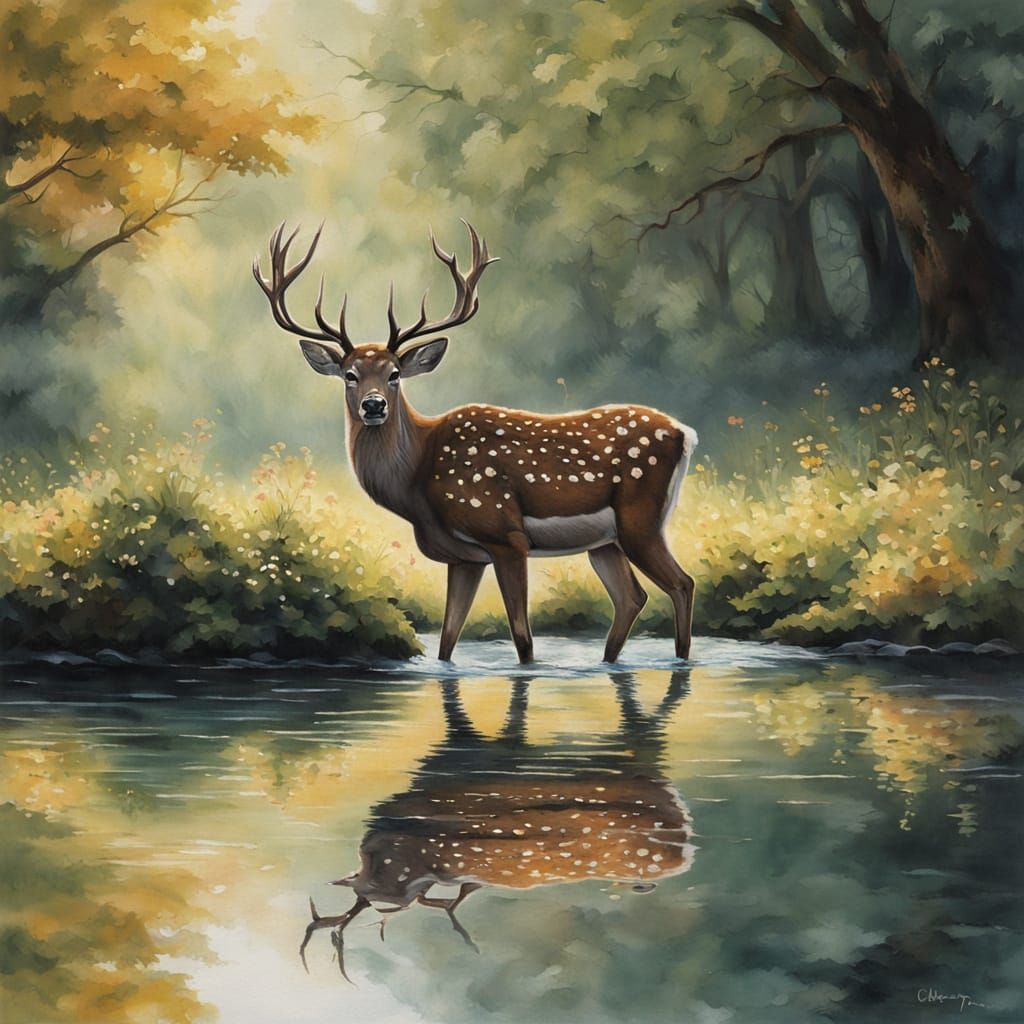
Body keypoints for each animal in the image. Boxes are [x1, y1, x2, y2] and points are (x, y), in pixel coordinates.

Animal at [253, 222, 699, 664]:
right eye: (349, 374)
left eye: (395, 373)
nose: (374, 405)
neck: (419, 479)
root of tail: (684, 432)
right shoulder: (463, 558)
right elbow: (447, 642)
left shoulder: (505, 535)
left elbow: (522, 639)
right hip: (605, 541)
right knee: (631, 597)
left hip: (641, 519)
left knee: (681, 583)